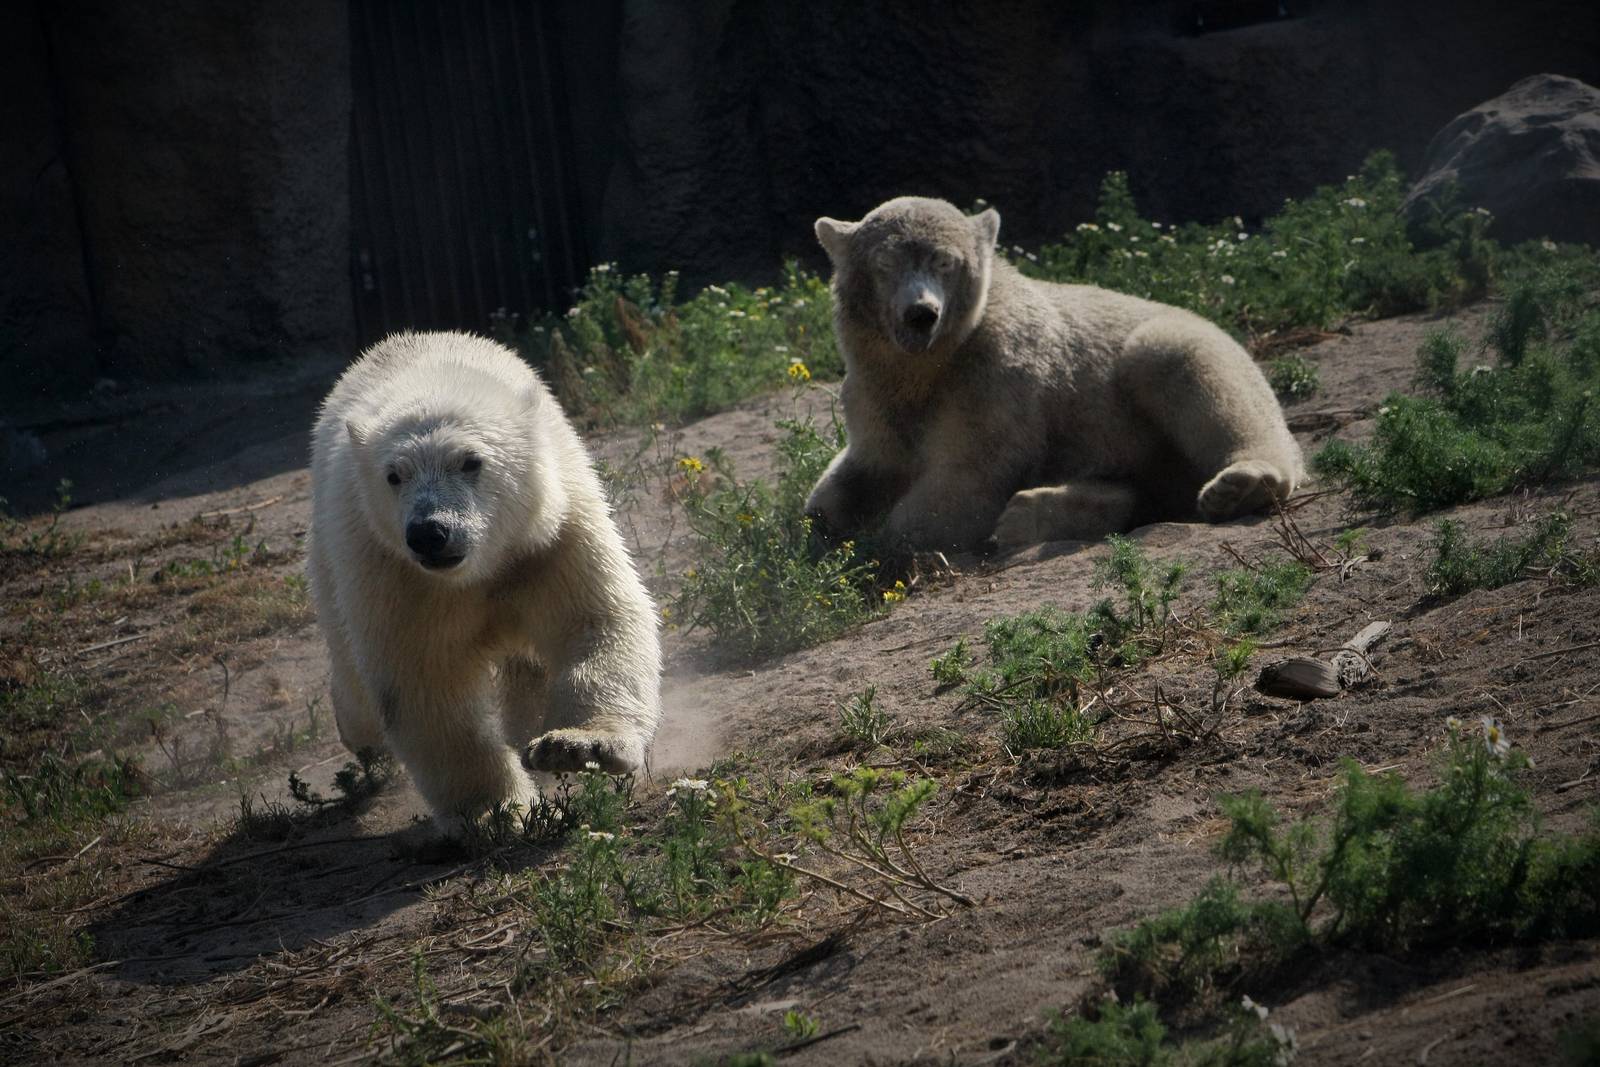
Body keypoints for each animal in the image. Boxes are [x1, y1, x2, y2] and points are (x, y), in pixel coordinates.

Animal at [307, 330, 661, 828]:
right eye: (394, 475)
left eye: (471, 461)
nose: (429, 533)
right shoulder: (396, 576)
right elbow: (424, 680)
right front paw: (496, 811)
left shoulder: (548, 538)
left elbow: (594, 621)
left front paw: (576, 746)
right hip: (332, 559)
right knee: (356, 682)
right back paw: (357, 736)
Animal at [804, 196, 1304, 552]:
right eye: (885, 264)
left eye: (944, 261)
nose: (920, 315)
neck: (929, 364)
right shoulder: (871, 391)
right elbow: (862, 471)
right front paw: (821, 533)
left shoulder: (994, 377)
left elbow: (967, 477)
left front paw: (873, 549)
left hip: (1184, 354)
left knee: (1187, 369)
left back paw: (1242, 484)